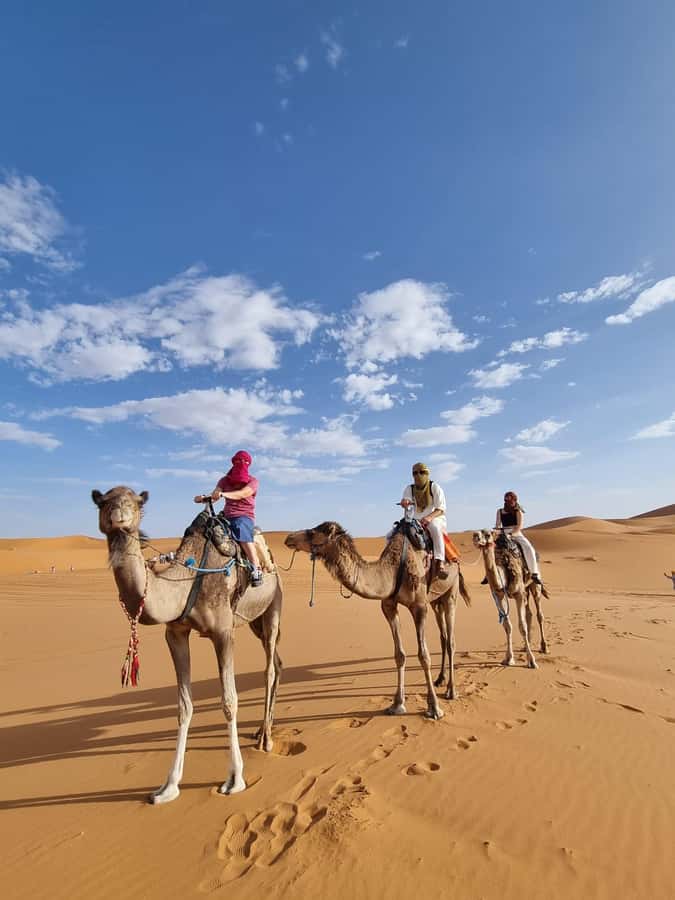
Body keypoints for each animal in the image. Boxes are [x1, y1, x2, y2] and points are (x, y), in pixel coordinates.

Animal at [92, 486, 283, 803]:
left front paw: (235, 779)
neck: (186, 579)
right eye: (102, 502)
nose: (119, 515)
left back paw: (266, 739)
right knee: (278, 663)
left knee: (269, 667)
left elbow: (229, 701)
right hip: (253, 620)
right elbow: (184, 706)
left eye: (136, 503)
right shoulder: (176, 633)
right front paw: (168, 787)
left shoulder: (223, 631)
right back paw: (261, 731)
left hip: (273, 607)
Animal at [284, 522, 471, 718]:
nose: (289, 538)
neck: (393, 570)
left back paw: (451, 690)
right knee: (443, 637)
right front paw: (397, 704)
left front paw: (434, 707)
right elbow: (399, 655)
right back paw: (440, 679)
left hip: (451, 592)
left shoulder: (419, 606)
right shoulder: (388, 606)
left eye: (313, 532)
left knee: (451, 641)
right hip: (435, 600)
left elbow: (424, 656)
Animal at [472, 528, 549, 668]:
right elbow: (507, 625)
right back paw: (525, 646)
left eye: (488, 534)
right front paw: (508, 658)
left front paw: (532, 661)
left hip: (534, 586)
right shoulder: (499, 595)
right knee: (529, 613)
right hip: (525, 590)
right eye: (476, 533)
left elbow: (522, 627)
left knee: (539, 614)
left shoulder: (518, 594)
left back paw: (544, 647)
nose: (475, 536)